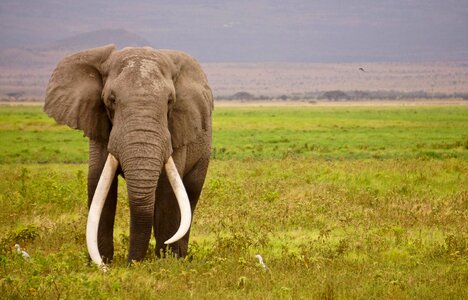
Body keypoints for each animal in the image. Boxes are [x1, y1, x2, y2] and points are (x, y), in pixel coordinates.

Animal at [44, 44, 212, 264]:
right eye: (111, 100)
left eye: (170, 101)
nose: (131, 263)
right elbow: (99, 185)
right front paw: (99, 263)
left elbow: (167, 192)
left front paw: (165, 263)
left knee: (190, 194)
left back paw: (179, 257)